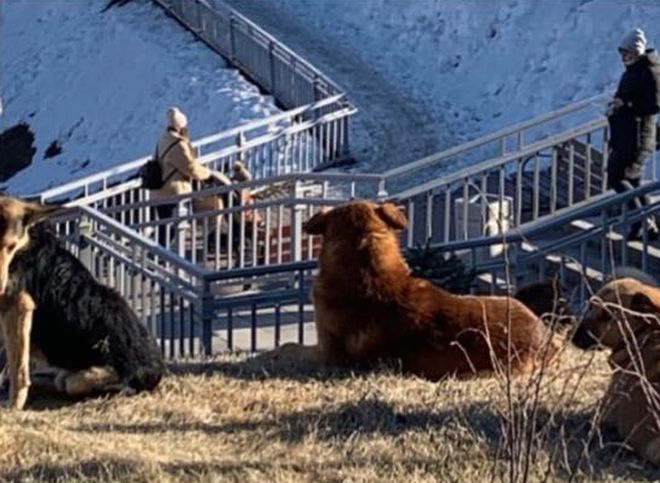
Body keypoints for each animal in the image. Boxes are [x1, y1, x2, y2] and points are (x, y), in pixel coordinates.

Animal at [0, 199, 164, 410]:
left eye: (11, 246)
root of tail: (157, 370)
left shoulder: (18, 306)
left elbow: (17, 368)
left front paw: (14, 404)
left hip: (86, 378)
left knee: (72, 383)